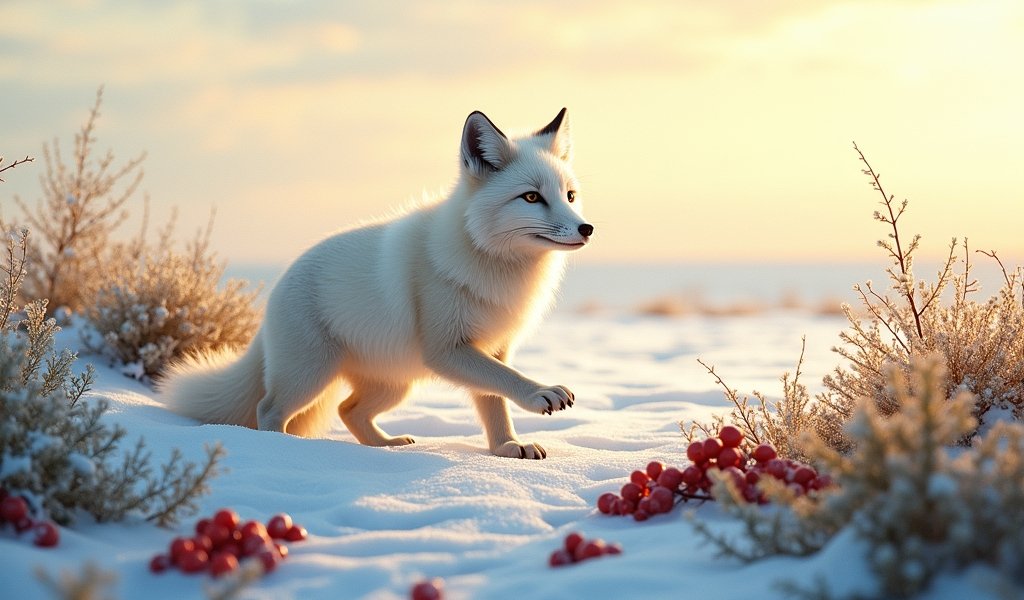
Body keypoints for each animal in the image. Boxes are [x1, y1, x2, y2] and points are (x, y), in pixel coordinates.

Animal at [158, 108, 592, 459]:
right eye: (532, 197)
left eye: (570, 196)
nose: (586, 228)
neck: (488, 257)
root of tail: (278, 285)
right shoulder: (448, 349)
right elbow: (505, 380)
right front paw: (538, 394)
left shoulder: (494, 347)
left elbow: (494, 401)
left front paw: (506, 447)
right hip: (310, 375)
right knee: (269, 409)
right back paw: (288, 449)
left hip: (394, 384)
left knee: (347, 411)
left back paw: (385, 446)